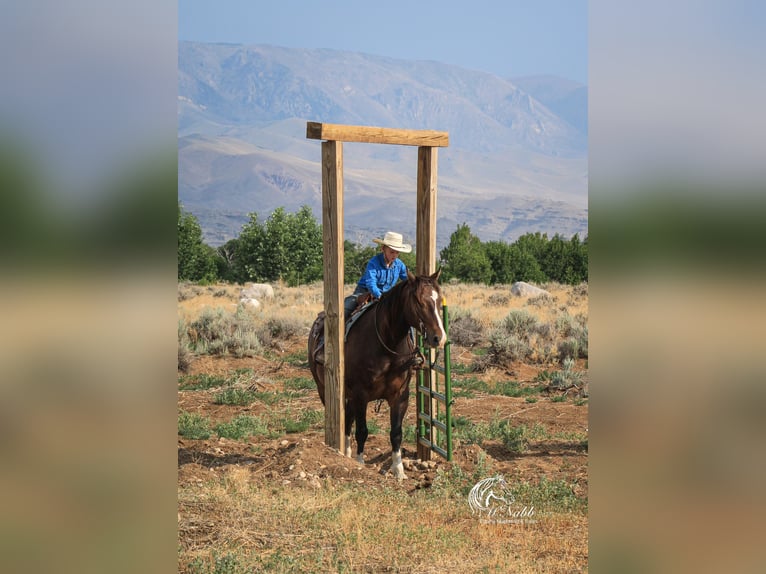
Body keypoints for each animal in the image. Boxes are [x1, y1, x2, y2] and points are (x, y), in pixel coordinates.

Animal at [308, 270, 448, 482]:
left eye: (439, 299)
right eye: (417, 300)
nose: (438, 337)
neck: (387, 344)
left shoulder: (400, 396)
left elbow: (396, 433)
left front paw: (398, 470)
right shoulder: (361, 395)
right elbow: (362, 431)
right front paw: (359, 463)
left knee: (347, 419)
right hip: (324, 389)